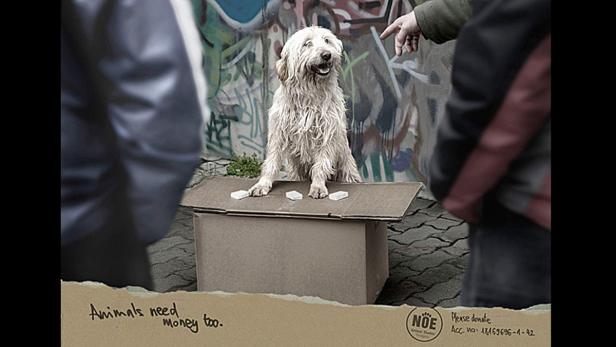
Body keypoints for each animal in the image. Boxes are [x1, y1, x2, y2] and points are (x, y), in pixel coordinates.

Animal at [247, 26, 360, 200]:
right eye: (307, 43)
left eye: (327, 40)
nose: (327, 55)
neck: (309, 94)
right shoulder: (278, 133)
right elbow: (271, 161)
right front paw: (262, 184)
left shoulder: (326, 133)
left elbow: (321, 163)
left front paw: (318, 186)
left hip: (346, 168)